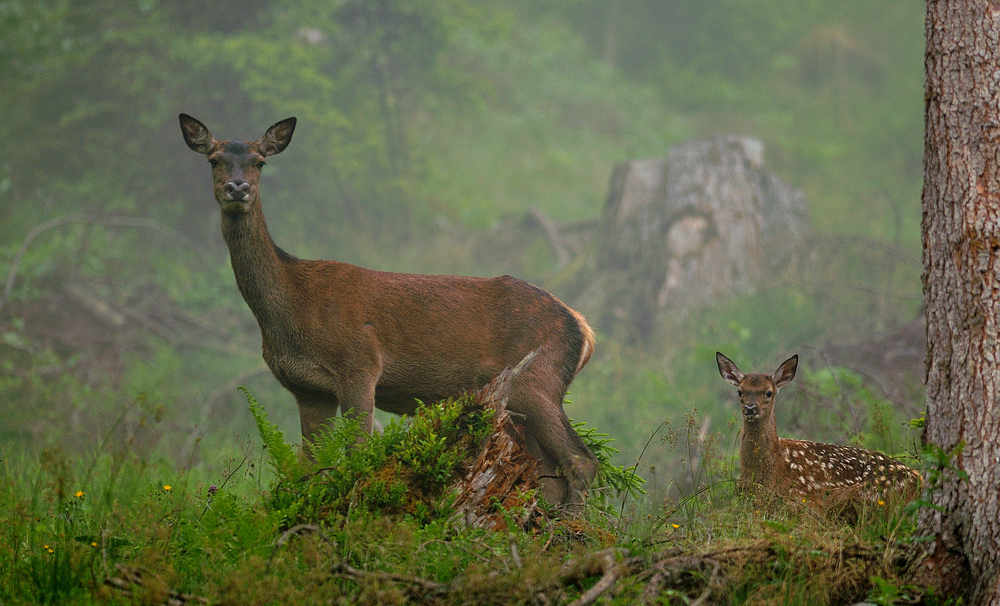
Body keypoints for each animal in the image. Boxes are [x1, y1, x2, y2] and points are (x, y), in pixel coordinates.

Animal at [181, 114, 596, 508]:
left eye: (260, 162)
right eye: (214, 159)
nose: (238, 188)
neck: (292, 310)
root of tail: (583, 327)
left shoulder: (360, 364)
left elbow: (357, 453)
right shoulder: (307, 389)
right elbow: (308, 466)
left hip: (538, 379)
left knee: (581, 460)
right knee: (550, 471)